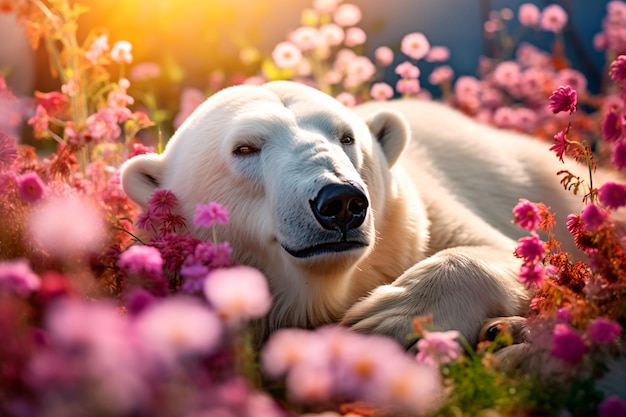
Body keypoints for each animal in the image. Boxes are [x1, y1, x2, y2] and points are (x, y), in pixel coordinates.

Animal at [122, 79, 588, 346]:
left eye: (346, 137)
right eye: (245, 148)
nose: (340, 202)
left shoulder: (424, 216)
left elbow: (512, 253)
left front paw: (387, 318)